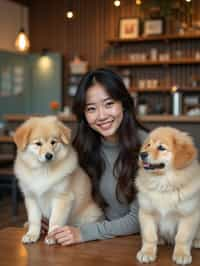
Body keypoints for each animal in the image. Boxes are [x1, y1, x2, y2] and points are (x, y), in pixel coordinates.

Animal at [13, 116, 103, 245]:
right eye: (38, 143)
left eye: (53, 142)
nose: (49, 155)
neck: (43, 171)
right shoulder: (31, 198)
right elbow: (34, 220)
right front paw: (32, 235)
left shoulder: (62, 197)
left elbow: (55, 221)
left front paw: (52, 237)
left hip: (90, 214)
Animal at [135, 126, 200, 264]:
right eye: (148, 145)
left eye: (161, 148)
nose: (142, 154)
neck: (163, 182)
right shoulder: (146, 212)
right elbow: (149, 236)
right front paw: (147, 252)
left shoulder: (188, 214)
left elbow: (182, 237)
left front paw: (181, 254)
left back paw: (197, 241)